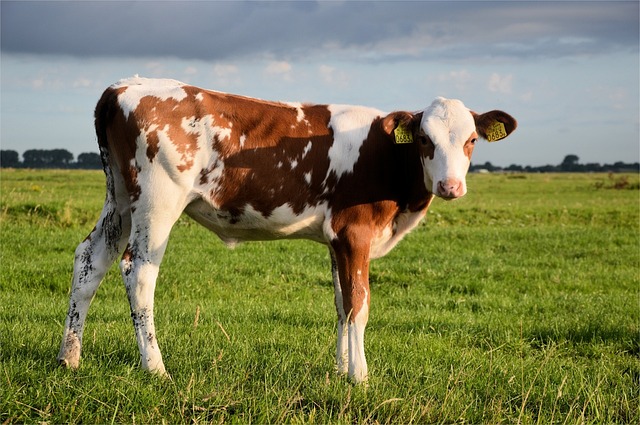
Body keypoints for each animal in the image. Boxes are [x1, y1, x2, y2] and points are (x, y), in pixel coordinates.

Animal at [56, 75, 516, 380]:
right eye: (424, 139)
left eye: (472, 140)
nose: (450, 186)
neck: (387, 158)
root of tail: (121, 87)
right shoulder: (355, 233)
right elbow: (360, 304)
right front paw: (360, 377)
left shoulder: (336, 239)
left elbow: (341, 303)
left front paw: (340, 369)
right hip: (157, 202)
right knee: (138, 271)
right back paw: (155, 368)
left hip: (120, 198)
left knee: (90, 261)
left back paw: (69, 357)